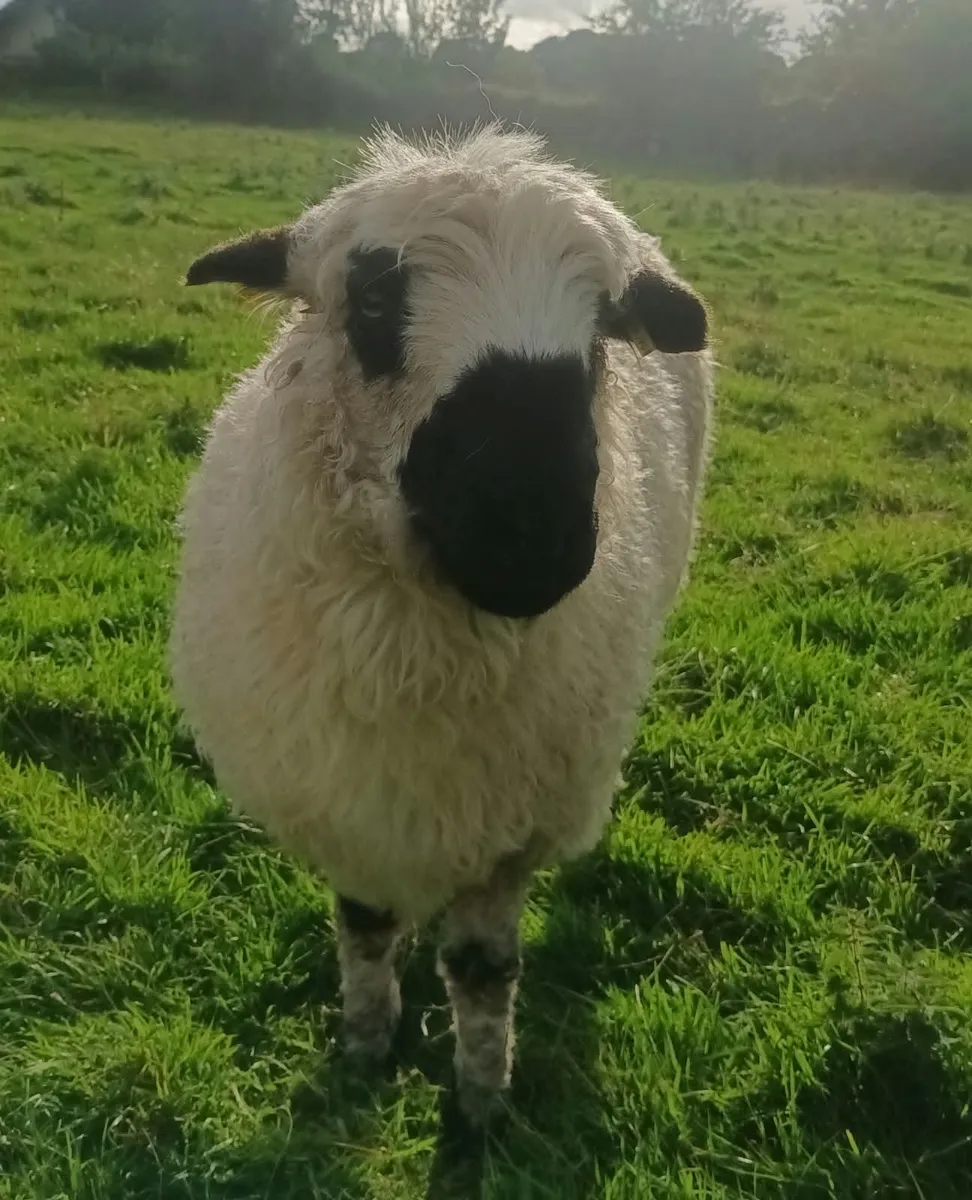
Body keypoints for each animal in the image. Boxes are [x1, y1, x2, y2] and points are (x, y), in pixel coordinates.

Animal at [169, 123, 714, 1129]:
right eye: (375, 299)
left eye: (603, 327)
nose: (532, 530)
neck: (416, 656)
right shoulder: (348, 800)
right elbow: (365, 928)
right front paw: (365, 1046)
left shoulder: (511, 828)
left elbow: (482, 970)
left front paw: (480, 1107)